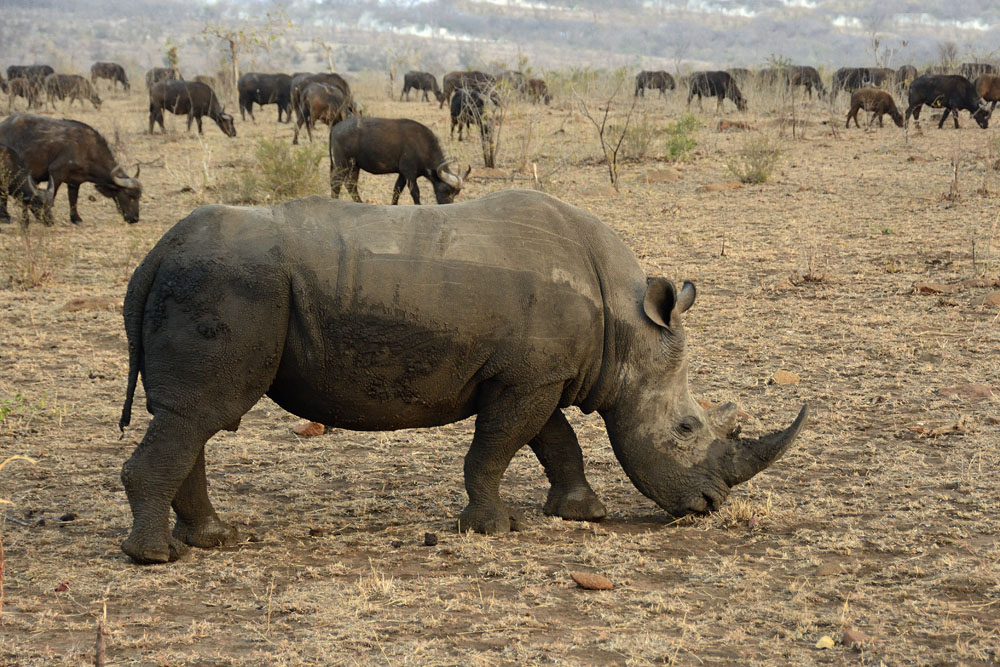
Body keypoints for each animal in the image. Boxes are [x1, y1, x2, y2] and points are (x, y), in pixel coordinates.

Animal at [0, 114, 142, 224]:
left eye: (139, 197)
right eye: (129, 196)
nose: (135, 219)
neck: (87, 149)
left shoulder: (75, 181)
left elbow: (73, 199)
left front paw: (76, 218)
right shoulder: (56, 173)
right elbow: (53, 196)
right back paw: (5, 216)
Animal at [119, 190, 807, 564]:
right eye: (687, 428)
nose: (709, 506)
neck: (627, 326)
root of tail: (155, 254)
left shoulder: (534, 374)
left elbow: (554, 440)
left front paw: (582, 513)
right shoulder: (528, 379)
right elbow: (499, 447)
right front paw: (493, 528)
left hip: (218, 282)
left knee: (191, 417)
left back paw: (214, 539)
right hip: (228, 285)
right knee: (200, 414)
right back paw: (158, 558)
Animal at [329, 116, 470, 205]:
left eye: (456, 193)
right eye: (446, 190)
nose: (448, 204)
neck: (422, 145)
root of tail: (336, 127)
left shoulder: (402, 174)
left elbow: (396, 190)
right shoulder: (409, 173)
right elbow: (415, 192)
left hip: (354, 166)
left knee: (350, 185)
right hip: (343, 164)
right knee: (337, 183)